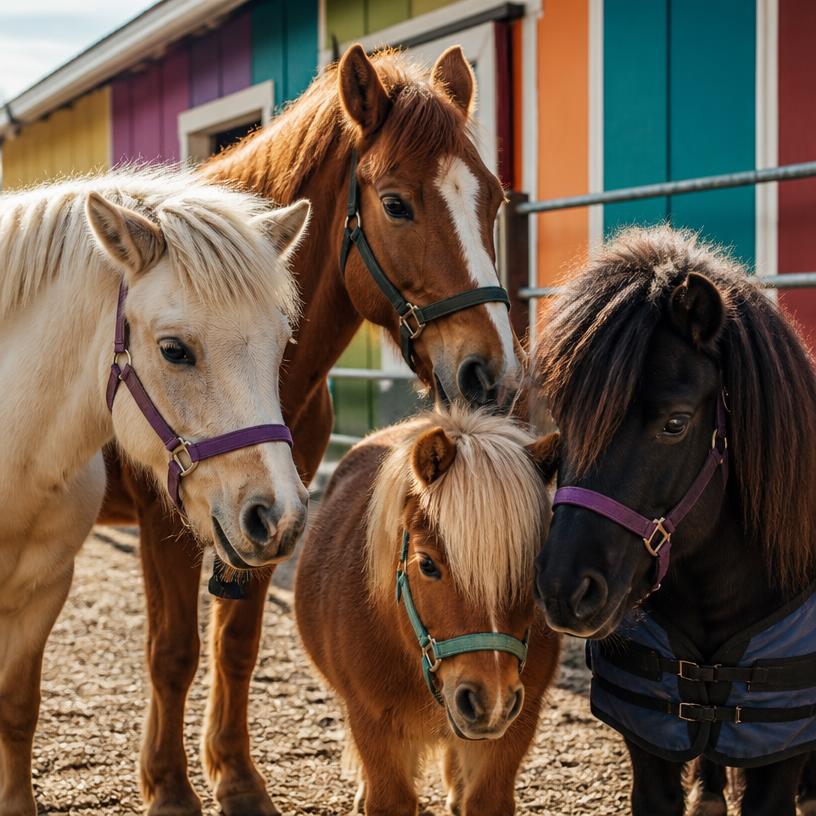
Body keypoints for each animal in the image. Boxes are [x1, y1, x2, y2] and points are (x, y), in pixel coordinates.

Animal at [96, 45, 522, 815]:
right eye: (396, 203)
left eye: (493, 201)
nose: (492, 373)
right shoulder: (167, 521)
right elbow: (173, 652)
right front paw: (169, 786)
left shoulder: (268, 517)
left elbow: (237, 645)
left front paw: (236, 777)